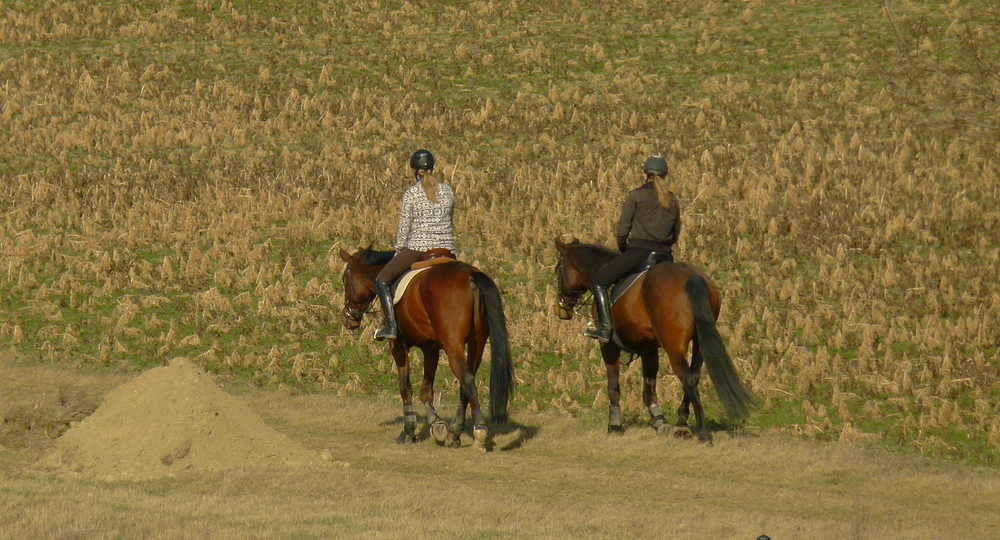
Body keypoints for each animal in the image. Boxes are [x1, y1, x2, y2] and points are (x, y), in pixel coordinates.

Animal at [342, 247, 516, 450]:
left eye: (345, 279)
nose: (348, 318)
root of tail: (470, 276)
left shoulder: (398, 345)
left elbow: (405, 387)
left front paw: (409, 431)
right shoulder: (430, 348)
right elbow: (426, 389)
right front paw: (437, 424)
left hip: (453, 347)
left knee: (468, 381)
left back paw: (479, 433)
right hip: (477, 344)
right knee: (465, 384)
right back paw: (454, 433)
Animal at [556, 238, 752, 440]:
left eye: (557, 270)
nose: (561, 309)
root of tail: (692, 277)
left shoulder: (609, 346)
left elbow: (614, 387)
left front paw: (614, 425)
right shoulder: (648, 349)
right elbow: (649, 389)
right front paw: (659, 421)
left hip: (674, 347)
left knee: (688, 378)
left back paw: (701, 430)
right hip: (700, 345)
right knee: (695, 376)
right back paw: (681, 422)